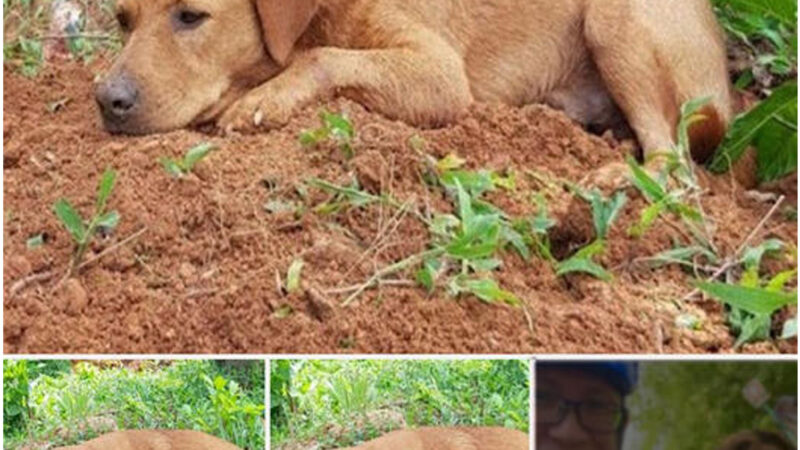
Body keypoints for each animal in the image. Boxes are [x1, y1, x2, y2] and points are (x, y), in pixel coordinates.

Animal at [95, 0, 732, 163]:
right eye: (122, 18)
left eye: (191, 15)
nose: (106, 99)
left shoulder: (441, 73)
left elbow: (322, 56)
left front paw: (263, 101)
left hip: (614, 19)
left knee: (674, 165)